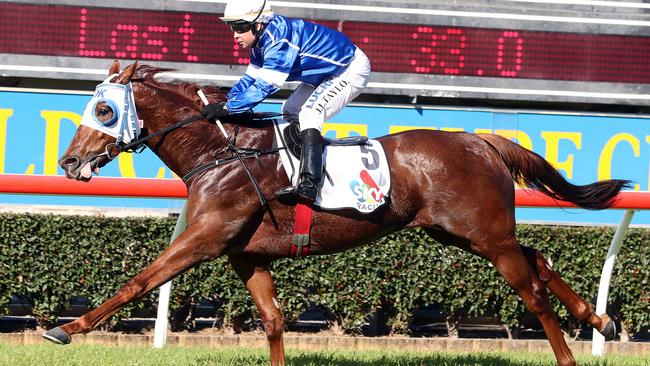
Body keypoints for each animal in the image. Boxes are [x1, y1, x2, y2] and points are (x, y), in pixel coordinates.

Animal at [45, 60, 628, 366]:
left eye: (104, 110)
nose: (68, 162)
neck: (223, 152)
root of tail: (481, 140)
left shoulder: (206, 237)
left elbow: (140, 281)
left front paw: (67, 329)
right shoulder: (244, 254)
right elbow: (274, 318)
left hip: (484, 235)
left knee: (531, 290)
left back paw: (569, 353)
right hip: (460, 232)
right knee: (538, 258)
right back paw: (597, 317)